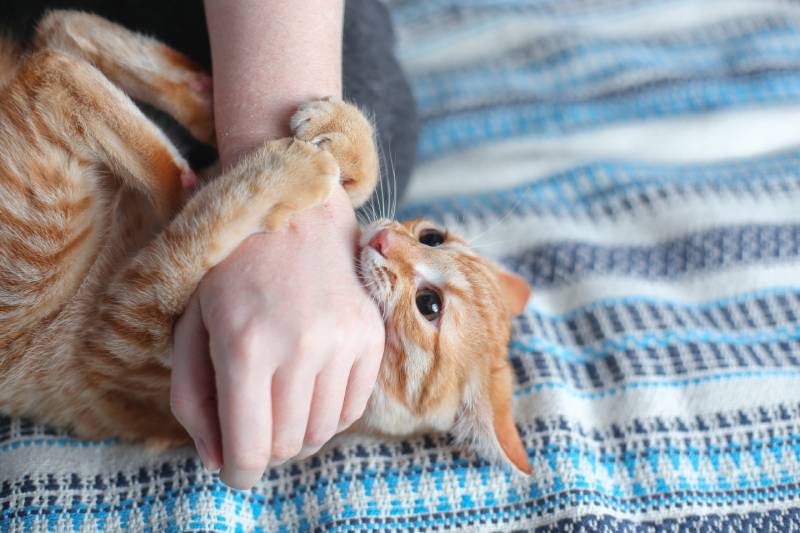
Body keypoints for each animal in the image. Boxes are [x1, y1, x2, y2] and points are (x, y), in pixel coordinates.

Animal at [0, 10, 536, 472]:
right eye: (432, 236)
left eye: (430, 306)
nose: (385, 240)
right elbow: (355, 179)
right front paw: (345, 137)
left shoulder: (119, 330)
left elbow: (191, 234)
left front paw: (294, 167)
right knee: (60, 36)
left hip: (44, 248)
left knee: (56, 72)